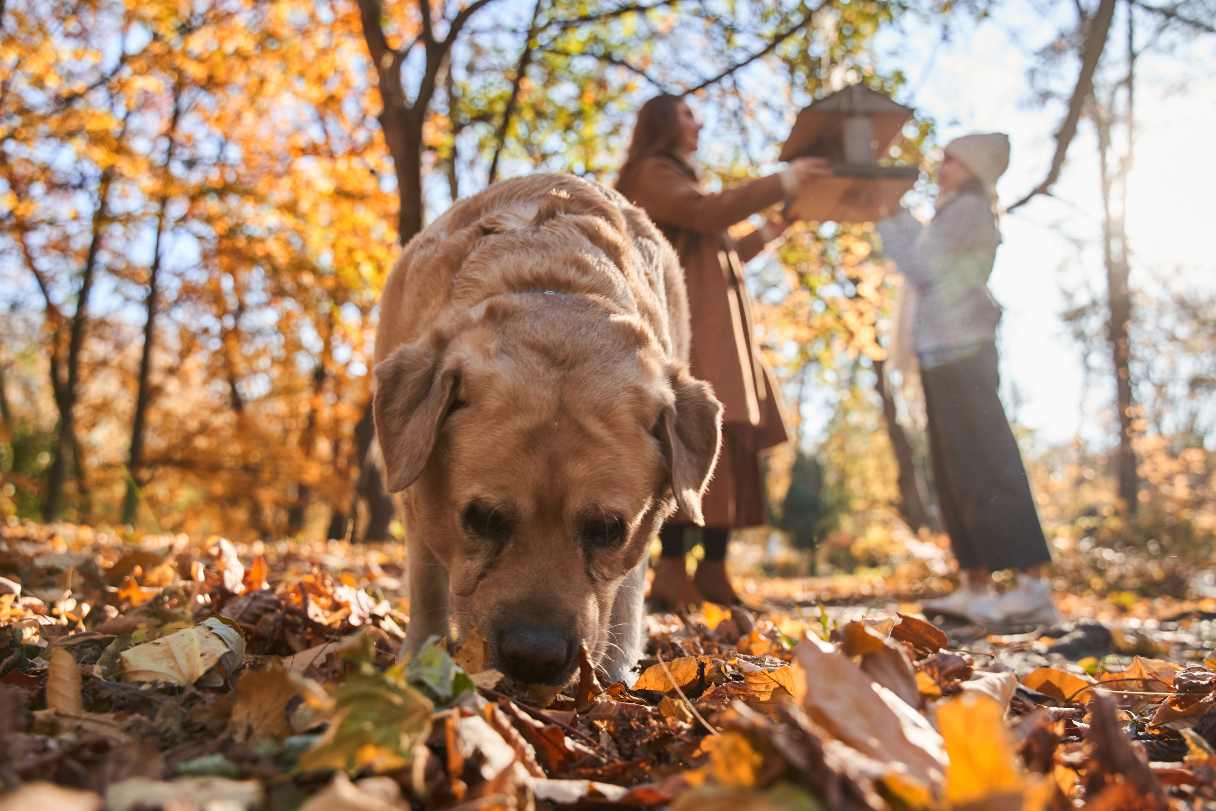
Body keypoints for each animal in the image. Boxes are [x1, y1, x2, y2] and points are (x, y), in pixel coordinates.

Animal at [374, 175, 719, 690]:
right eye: (481, 518)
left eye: (608, 529)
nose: (535, 657)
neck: (555, 291)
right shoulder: (415, 499)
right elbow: (428, 586)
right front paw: (421, 659)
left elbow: (627, 588)